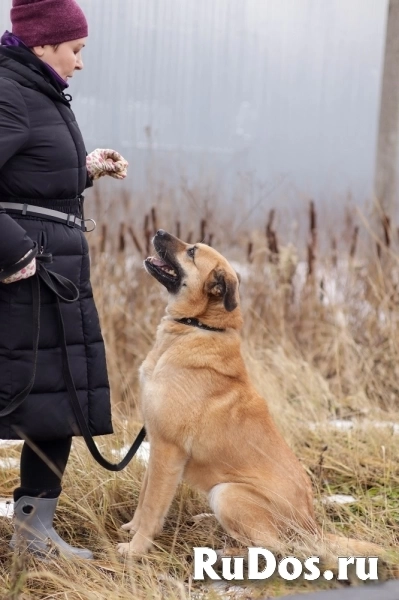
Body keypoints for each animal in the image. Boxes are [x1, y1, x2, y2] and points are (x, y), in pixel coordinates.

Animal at [118, 230, 384, 556]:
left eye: (192, 252)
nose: (159, 232)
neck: (200, 326)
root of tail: (312, 527)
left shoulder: (168, 449)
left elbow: (152, 505)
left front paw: (136, 547)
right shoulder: (156, 443)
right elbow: (144, 498)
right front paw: (132, 529)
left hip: (227, 492)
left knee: (274, 548)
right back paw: (208, 522)